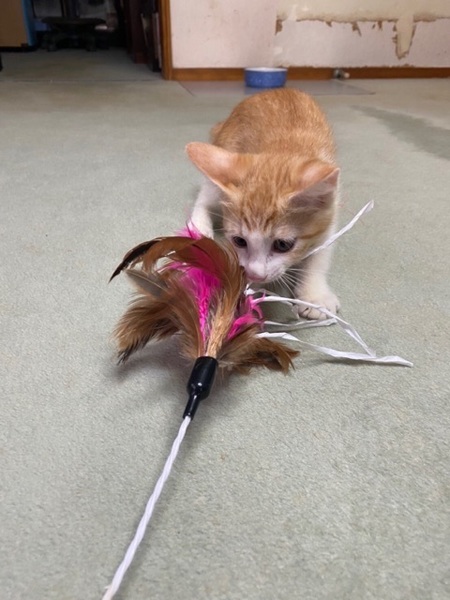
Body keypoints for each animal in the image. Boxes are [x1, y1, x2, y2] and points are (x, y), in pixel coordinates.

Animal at [186, 88, 340, 320]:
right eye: (239, 241)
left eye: (283, 245)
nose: (256, 274)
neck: (285, 150)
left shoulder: (330, 211)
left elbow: (321, 254)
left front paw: (315, 295)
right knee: (205, 196)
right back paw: (199, 227)